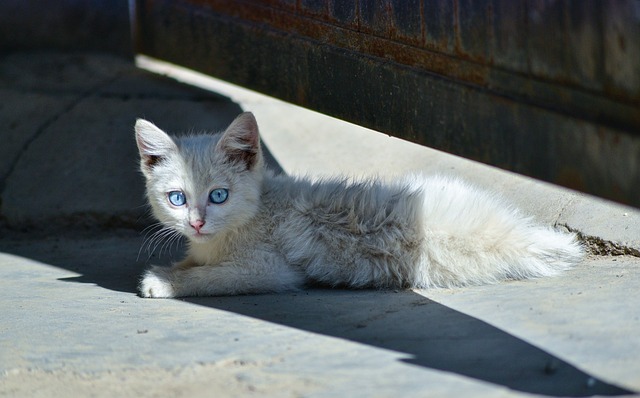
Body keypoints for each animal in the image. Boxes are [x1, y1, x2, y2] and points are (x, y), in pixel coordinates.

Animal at [135, 112, 584, 298]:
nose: (196, 223)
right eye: (177, 198)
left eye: (219, 196)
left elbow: (214, 276)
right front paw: (178, 266)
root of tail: (515, 235)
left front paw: (165, 281)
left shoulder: (269, 268)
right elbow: (196, 262)